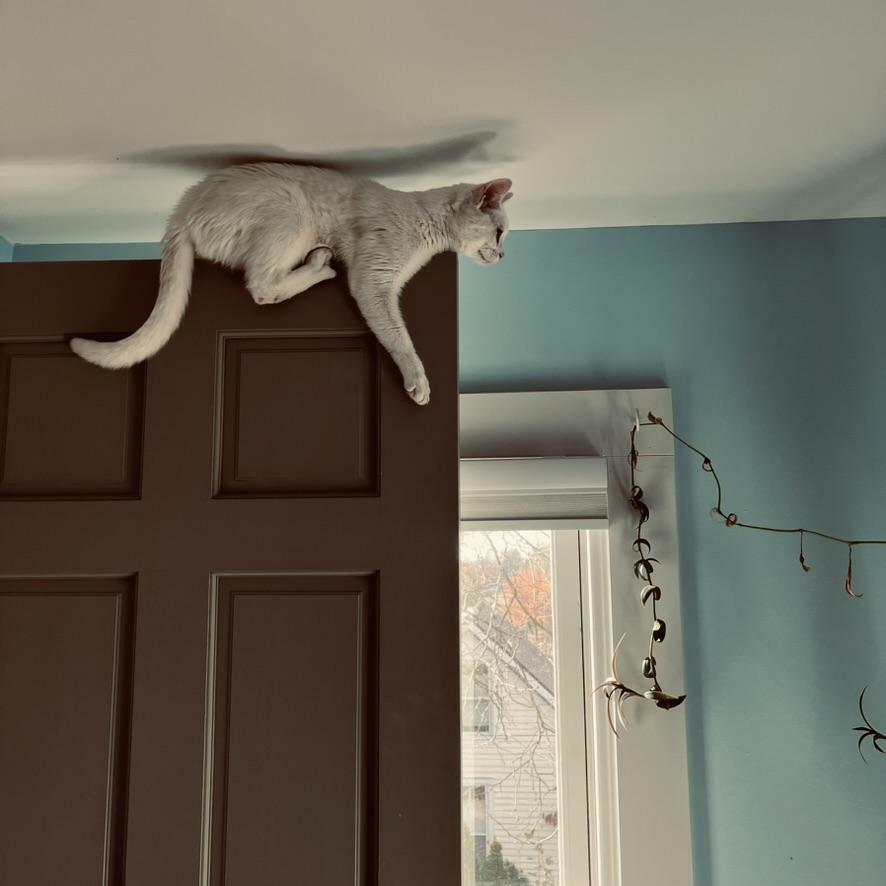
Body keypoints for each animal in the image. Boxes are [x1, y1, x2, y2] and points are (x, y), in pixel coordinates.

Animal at [71, 163, 512, 406]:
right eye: (501, 233)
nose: (505, 256)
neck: (426, 232)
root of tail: (183, 206)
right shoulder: (373, 280)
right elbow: (399, 337)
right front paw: (418, 382)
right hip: (292, 213)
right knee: (261, 285)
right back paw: (320, 266)